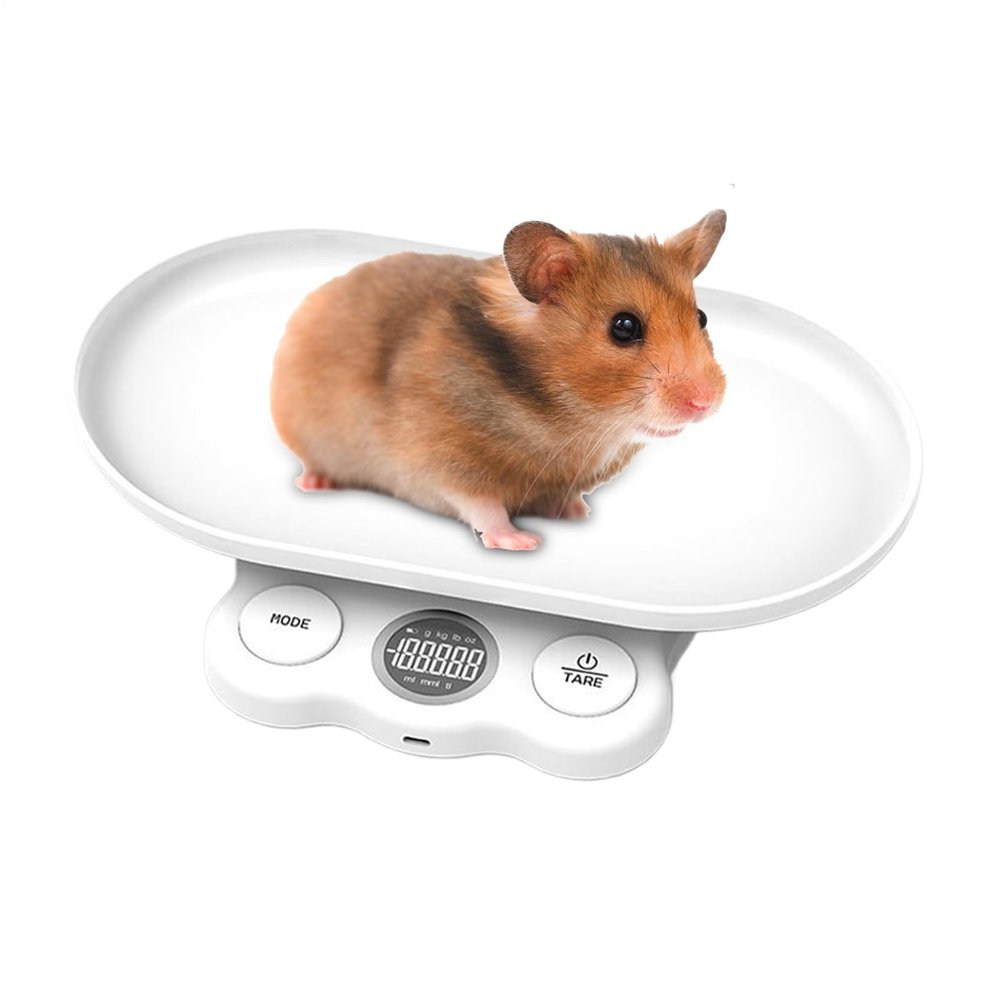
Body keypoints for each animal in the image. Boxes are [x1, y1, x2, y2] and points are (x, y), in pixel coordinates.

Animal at [271, 211, 728, 551]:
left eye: (702, 317)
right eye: (624, 326)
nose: (706, 403)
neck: (572, 421)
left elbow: (564, 498)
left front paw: (579, 515)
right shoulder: (442, 460)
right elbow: (481, 504)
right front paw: (521, 541)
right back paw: (314, 482)